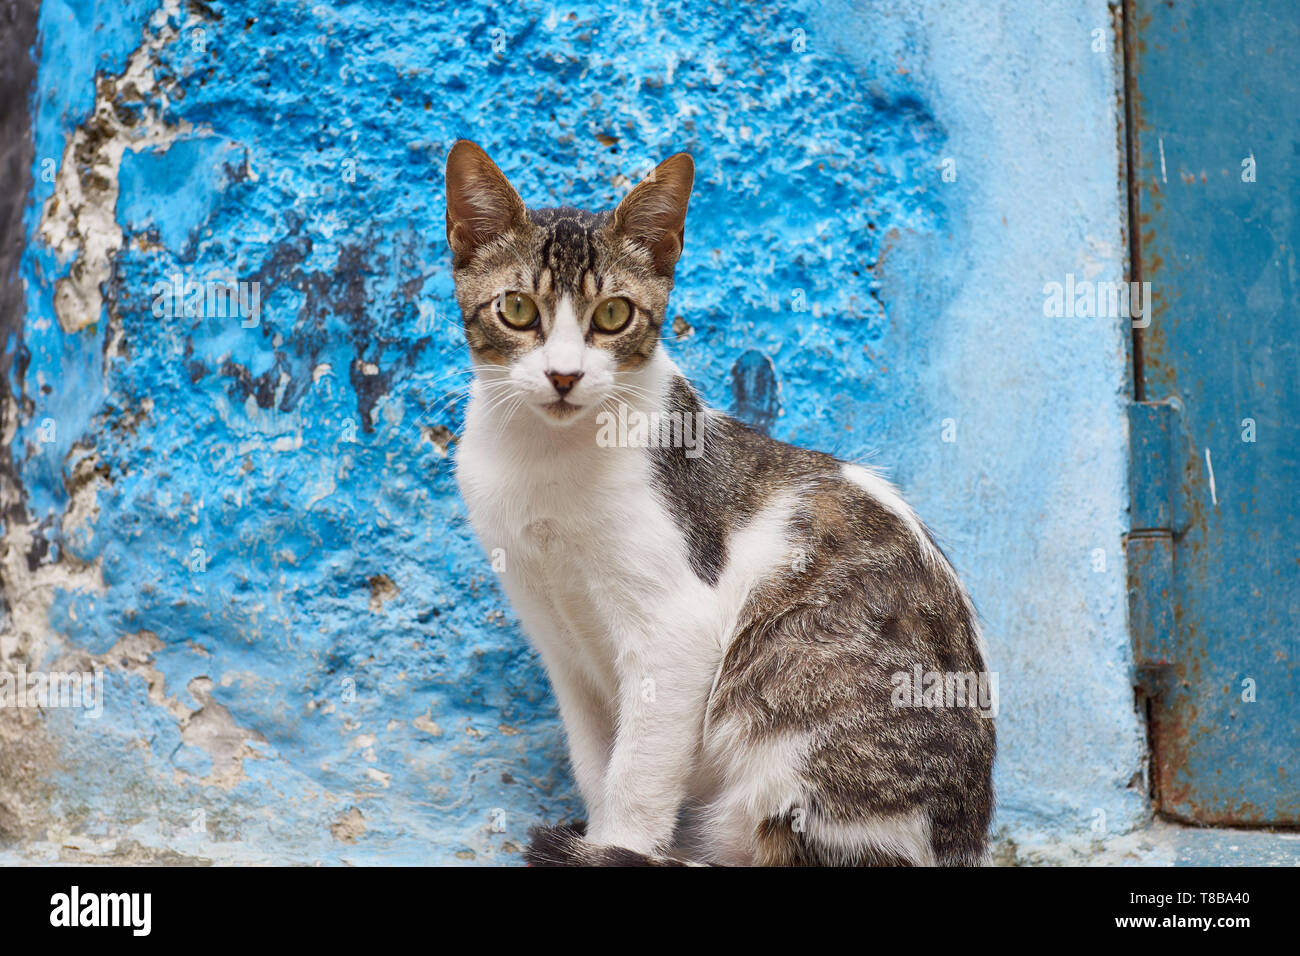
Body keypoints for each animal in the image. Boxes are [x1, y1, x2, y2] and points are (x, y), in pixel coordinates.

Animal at [447, 140, 993, 868]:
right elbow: (595, 764)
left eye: (612, 315)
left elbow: (636, 775)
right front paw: (596, 836)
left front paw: (615, 845)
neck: (544, 459)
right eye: (516, 309)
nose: (564, 375)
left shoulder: (674, 630)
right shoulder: (555, 637)